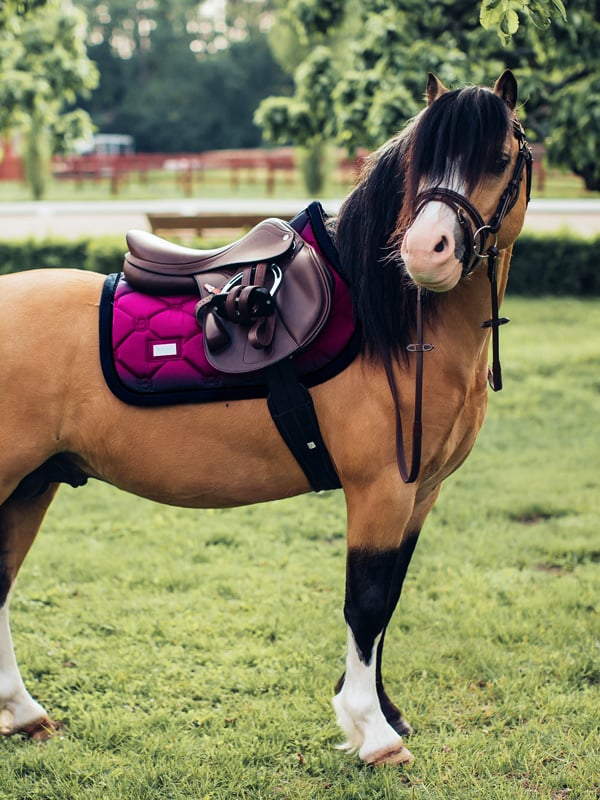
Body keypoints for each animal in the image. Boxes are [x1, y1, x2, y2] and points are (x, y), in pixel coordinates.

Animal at [0, 70, 531, 766]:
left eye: (498, 158)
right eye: (422, 160)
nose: (424, 252)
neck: (386, 324)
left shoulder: (421, 494)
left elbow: (388, 599)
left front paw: (386, 713)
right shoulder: (381, 490)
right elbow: (365, 604)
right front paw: (372, 731)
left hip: (31, 485)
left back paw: (23, 712)